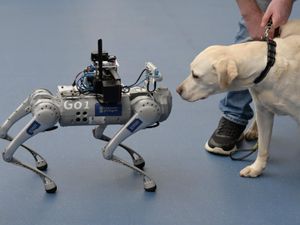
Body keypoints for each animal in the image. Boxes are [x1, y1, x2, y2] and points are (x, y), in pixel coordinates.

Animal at [177, 19, 300, 178]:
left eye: (195, 75)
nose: (178, 90)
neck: (268, 67)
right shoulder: (264, 112)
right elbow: (263, 147)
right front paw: (257, 168)